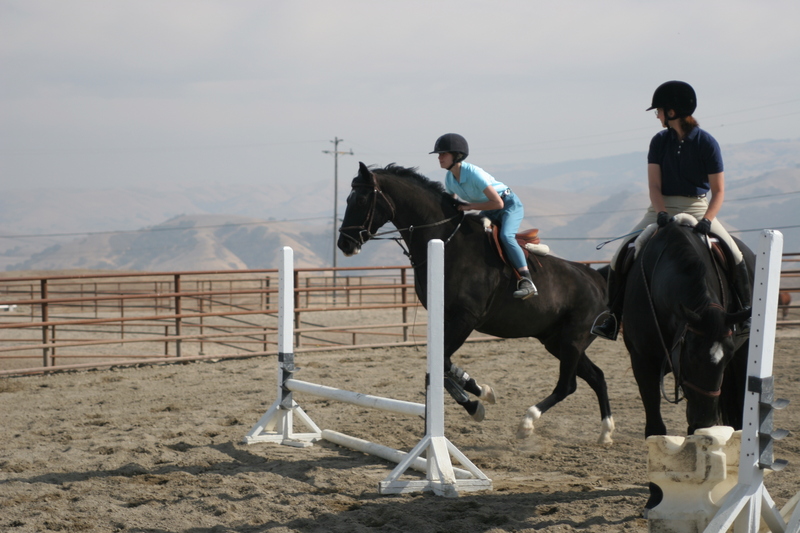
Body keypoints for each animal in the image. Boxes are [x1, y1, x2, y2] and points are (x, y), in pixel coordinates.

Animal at [337, 162, 615, 444]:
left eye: (360, 199)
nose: (344, 244)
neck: (447, 242)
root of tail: (596, 278)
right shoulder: (447, 318)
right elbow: (442, 366)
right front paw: (478, 392)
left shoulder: (466, 317)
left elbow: (443, 363)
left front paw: (476, 400)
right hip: (555, 340)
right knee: (597, 376)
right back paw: (606, 432)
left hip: (572, 339)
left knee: (568, 385)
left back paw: (527, 422)